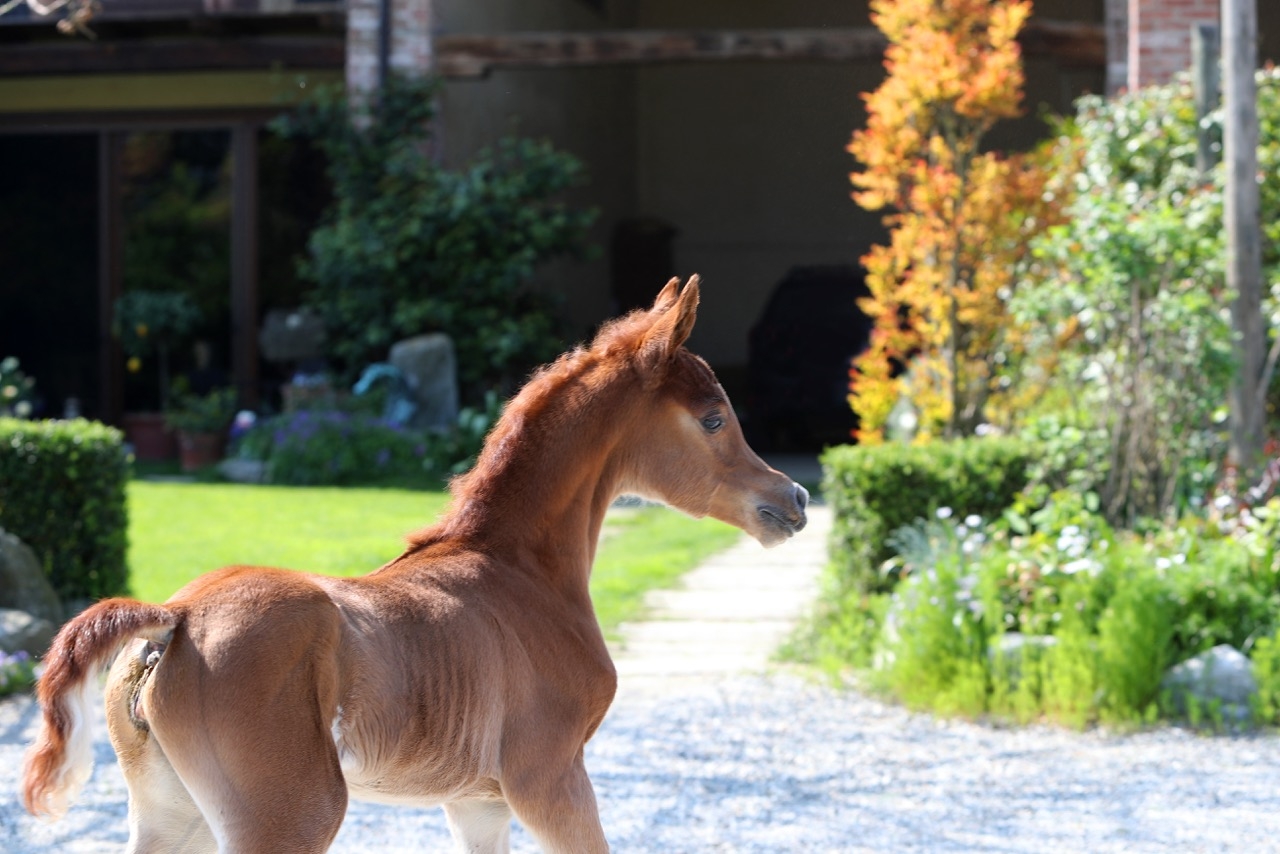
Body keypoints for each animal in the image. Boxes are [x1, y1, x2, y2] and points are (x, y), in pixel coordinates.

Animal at [21, 275, 809, 853]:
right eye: (713, 417)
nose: (795, 499)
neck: (519, 571)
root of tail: (174, 618)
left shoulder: (476, 801)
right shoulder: (550, 778)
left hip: (169, 813)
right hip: (287, 817)